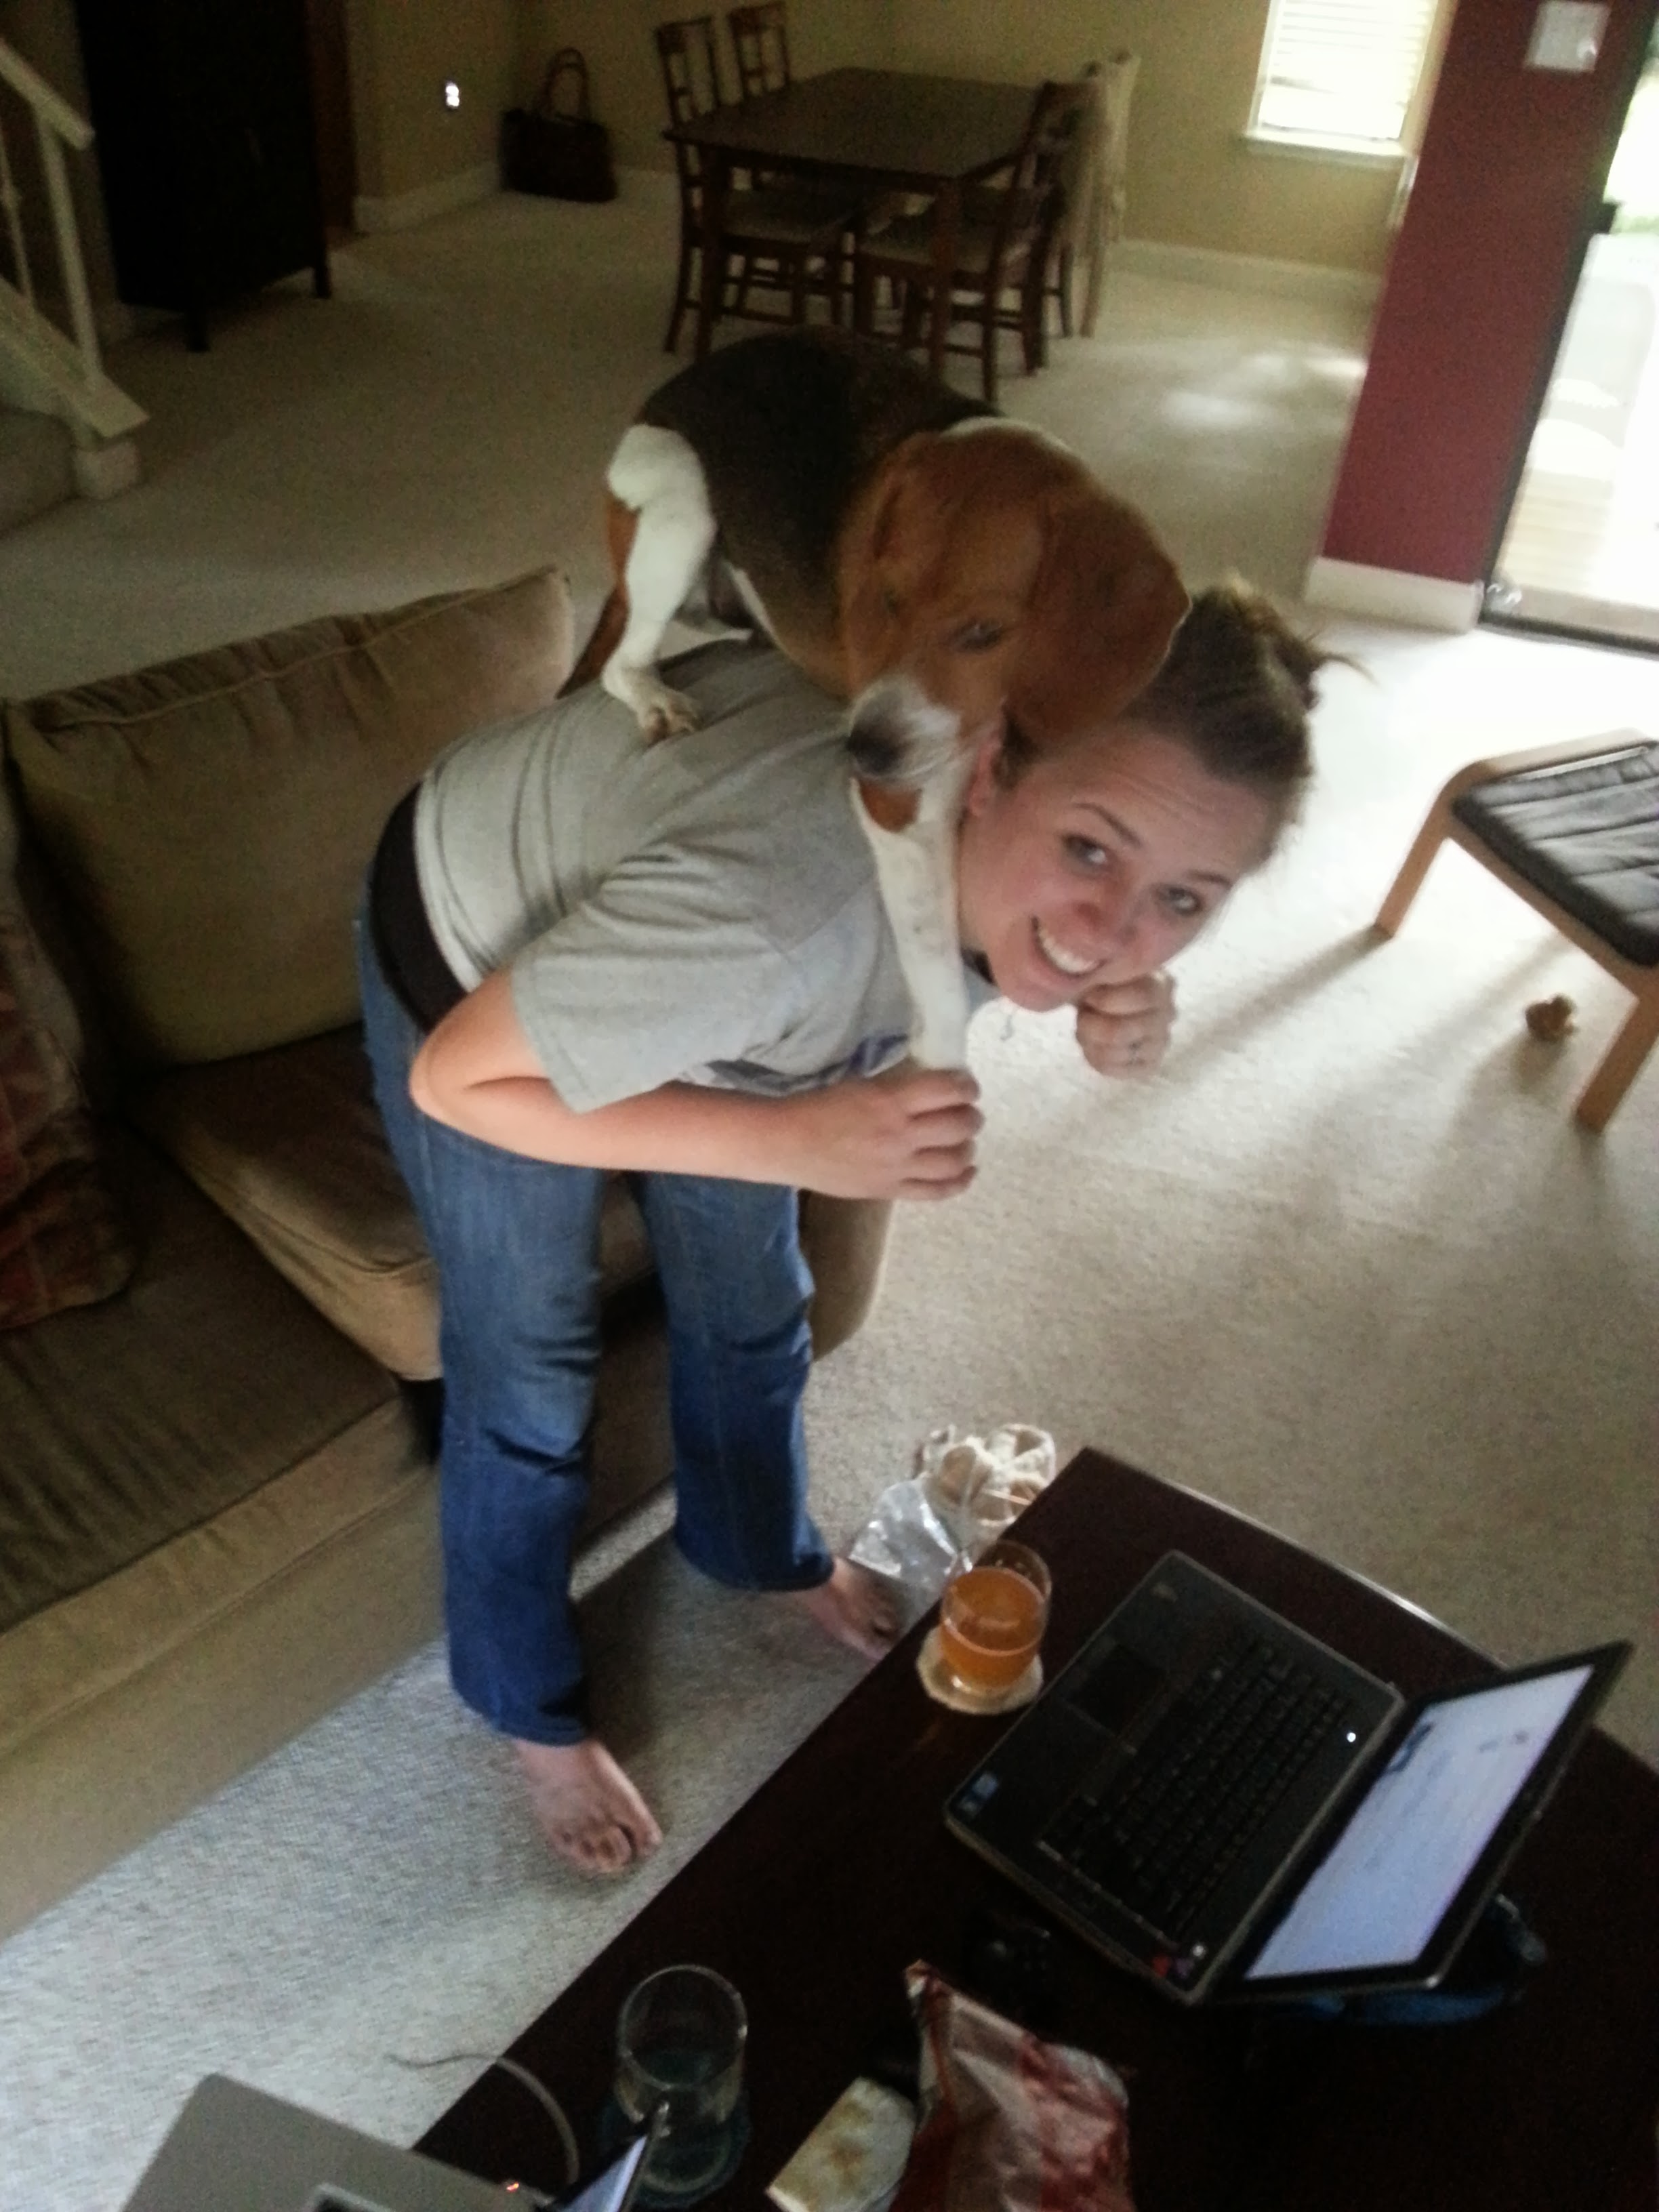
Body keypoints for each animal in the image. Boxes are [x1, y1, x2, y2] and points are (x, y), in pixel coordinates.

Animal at [565, 330, 1188, 1068]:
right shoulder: (904, 812)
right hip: (682, 497)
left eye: (984, 633)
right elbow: (939, 979)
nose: (863, 751)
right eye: (886, 600)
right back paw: (653, 696)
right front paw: (942, 1066)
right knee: (623, 662)